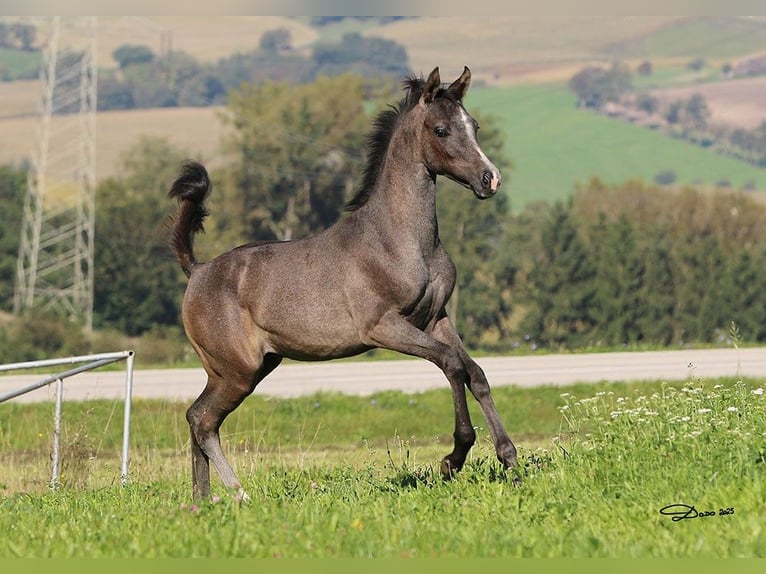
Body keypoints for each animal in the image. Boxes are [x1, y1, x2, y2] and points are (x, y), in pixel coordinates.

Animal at [168, 66, 518, 501]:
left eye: (474, 125)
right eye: (440, 130)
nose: (491, 179)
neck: (400, 238)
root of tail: (197, 270)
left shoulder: (437, 318)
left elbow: (476, 373)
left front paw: (510, 460)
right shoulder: (384, 327)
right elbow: (452, 364)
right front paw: (453, 458)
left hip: (245, 368)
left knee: (197, 417)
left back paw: (202, 499)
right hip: (238, 371)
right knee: (202, 421)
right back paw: (238, 493)